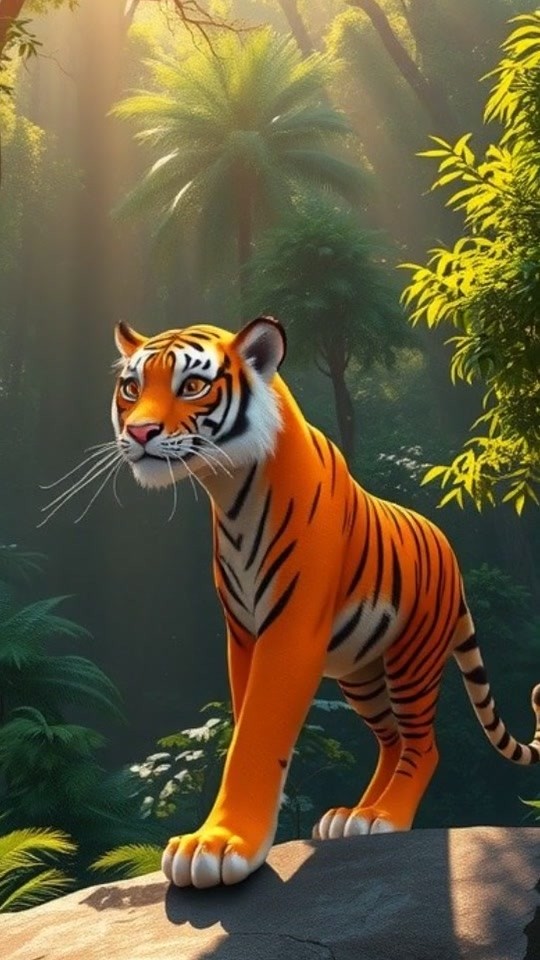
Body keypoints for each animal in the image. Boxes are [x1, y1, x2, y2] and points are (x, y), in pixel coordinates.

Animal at [112, 314, 540, 889]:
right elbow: (245, 721)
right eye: (131, 388)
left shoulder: (290, 629)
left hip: (412, 657)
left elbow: (259, 731)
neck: (229, 492)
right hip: (361, 674)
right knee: (391, 741)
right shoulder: (242, 634)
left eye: (193, 385)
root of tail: (452, 554)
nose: (139, 432)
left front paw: (220, 845)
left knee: (423, 744)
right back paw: (353, 816)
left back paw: (384, 816)